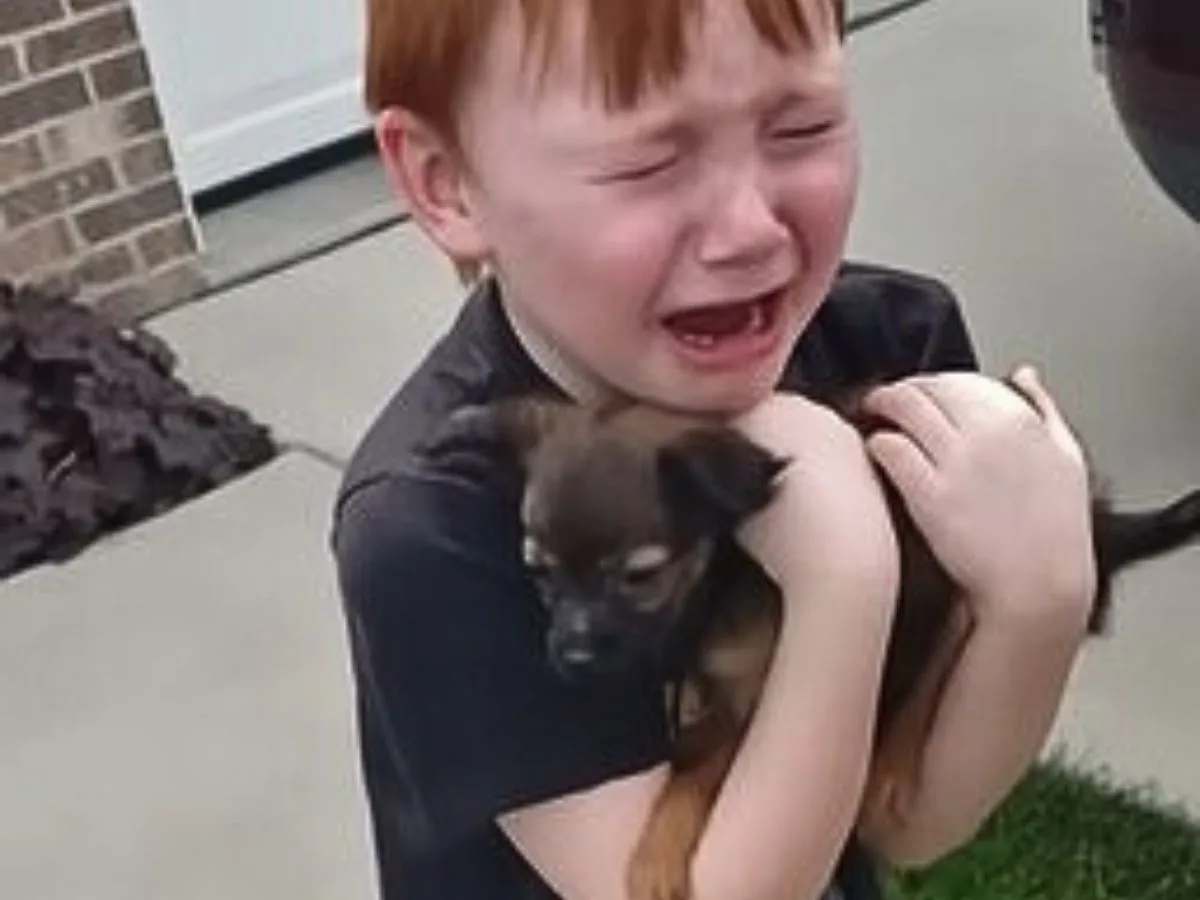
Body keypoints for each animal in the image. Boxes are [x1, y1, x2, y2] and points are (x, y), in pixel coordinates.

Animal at [424, 379, 1200, 900]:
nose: (574, 659)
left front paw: (656, 857)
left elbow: (692, 771)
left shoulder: (756, 694)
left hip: (953, 576)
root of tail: (1094, 511)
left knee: (939, 652)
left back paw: (891, 760)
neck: (718, 582)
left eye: (639, 576)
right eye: (539, 573)